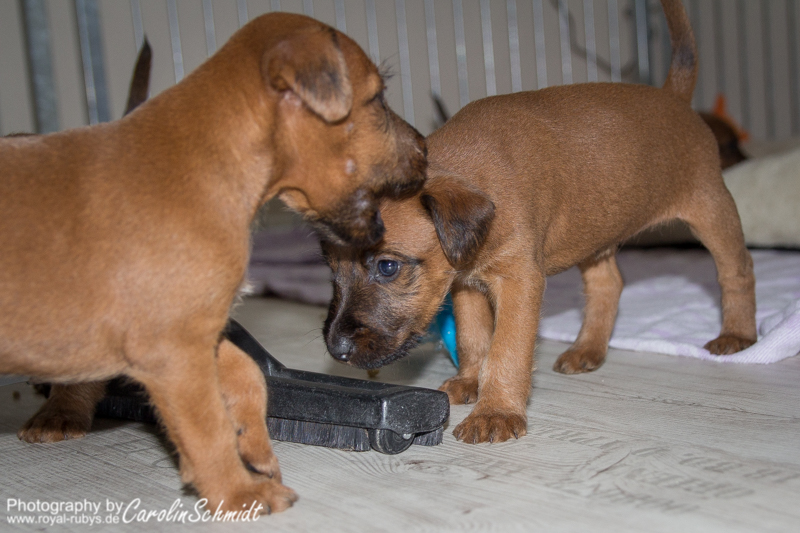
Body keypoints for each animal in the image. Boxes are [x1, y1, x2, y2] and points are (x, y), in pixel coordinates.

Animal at [1, 12, 425, 514]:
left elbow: (247, 375)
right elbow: (207, 427)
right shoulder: (173, 347)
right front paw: (239, 491)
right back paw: (59, 413)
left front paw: (255, 447)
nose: (425, 147)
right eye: (377, 98)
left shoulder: (194, 330)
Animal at [322, 0, 756, 445]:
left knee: (737, 270)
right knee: (609, 285)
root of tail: (675, 98)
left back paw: (738, 335)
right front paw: (469, 381)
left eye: (388, 266)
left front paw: (495, 411)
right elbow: (475, 338)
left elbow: (507, 349)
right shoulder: (464, 285)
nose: (337, 350)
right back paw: (587, 350)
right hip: (595, 233)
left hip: (711, 208)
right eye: (331, 268)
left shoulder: (519, 283)